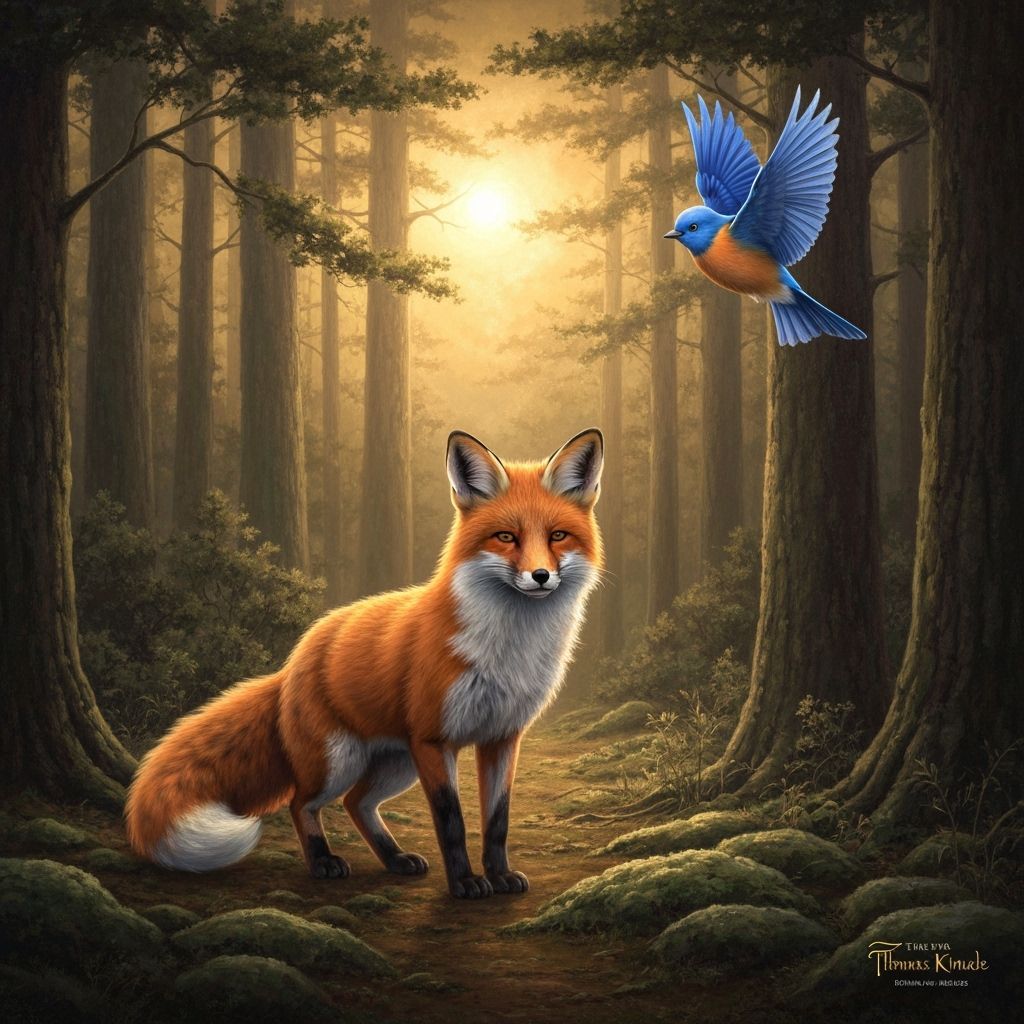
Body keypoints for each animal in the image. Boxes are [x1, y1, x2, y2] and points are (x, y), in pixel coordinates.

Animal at [126, 428, 604, 898]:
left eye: (557, 536)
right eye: (506, 537)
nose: (540, 576)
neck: (510, 649)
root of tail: (292, 662)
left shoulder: (502, 738)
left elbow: (498, 820)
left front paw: (499, 875)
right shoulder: (434, 740)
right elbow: (451, 821)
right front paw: (465, 883)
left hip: (395, 764)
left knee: (357, 803)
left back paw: (394, 858)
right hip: (340, 761)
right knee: (302, 802)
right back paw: (323, 862)